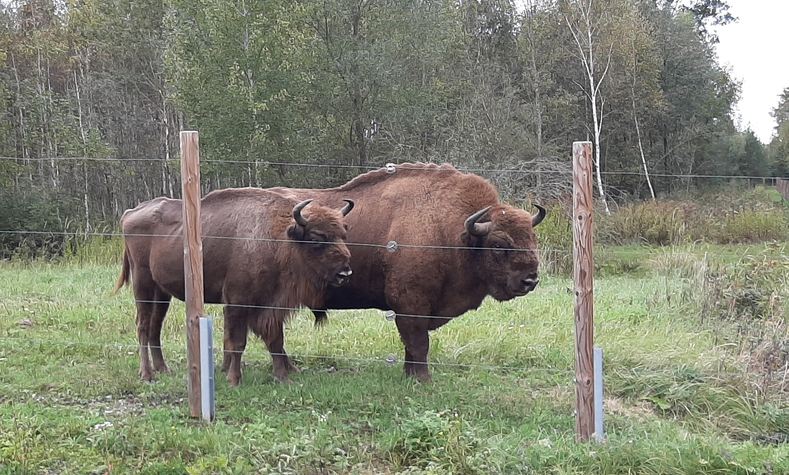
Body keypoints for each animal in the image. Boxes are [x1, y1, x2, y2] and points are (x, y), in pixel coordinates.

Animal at [111, 187, 354, 386]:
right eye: (316, 238)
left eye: (343, 235)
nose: (344, 273)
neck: (276, 237)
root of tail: (130, 213)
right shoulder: (239, 302)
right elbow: (238, 342)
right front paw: (234, 379)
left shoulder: (270, 305)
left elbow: (276, 341)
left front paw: (283, 379)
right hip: (142, 282)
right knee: (143, 325)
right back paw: (147, 374)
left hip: (162, 292)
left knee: (155, 326)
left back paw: (163, 368)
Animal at [264, 164, 540, 384]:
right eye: (498, 244)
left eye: (532, 238)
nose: (531, 280)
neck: (448, 230)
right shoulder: (411, 304)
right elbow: (419, 344)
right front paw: (424, 380)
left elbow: (411, 346)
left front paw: (410, 375)